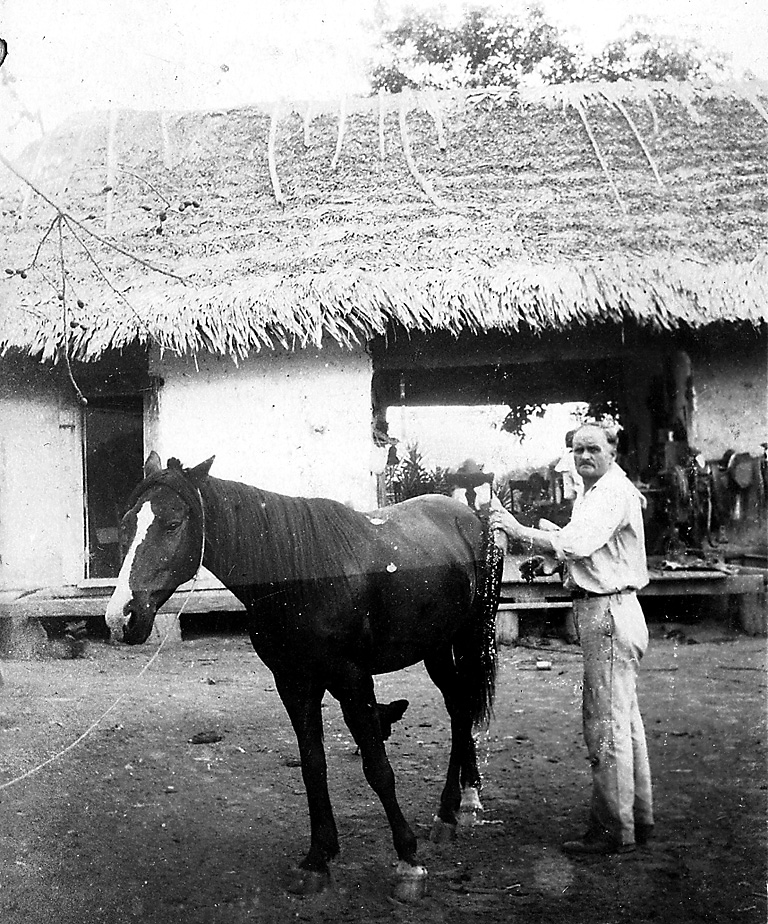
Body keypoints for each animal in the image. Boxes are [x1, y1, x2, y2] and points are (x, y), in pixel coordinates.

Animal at [108, 452, 504, 900]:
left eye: (173, 523)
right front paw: (318, 859)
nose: (121, 618)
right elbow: (313, 765)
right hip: (436, 647)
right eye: (127, 523)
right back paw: (458, 806)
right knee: (459, 708)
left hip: (468, 638)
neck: (300, 575)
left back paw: (456, 807)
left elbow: (378, 768)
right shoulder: (294, 683)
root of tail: (472, 517)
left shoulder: (353, 680)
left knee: (462, 709)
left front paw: (408, 862)